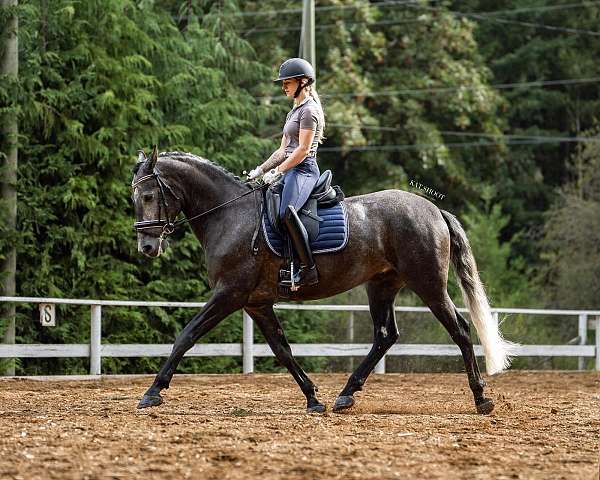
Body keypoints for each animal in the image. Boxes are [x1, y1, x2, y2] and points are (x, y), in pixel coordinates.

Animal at [132, 148, 516, 414]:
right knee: (385, 336)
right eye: (135, 198)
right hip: (381, 285)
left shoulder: (229, 294)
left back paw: (481, 398)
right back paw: (345, 395)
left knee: (460, 332)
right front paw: (313, 398)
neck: (229, 215)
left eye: (149, 196)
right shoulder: (257, 303)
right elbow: (283, 350)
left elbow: (186, 336)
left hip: (429, 285)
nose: (147, 247)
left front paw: (152, 392)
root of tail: (434, 210)